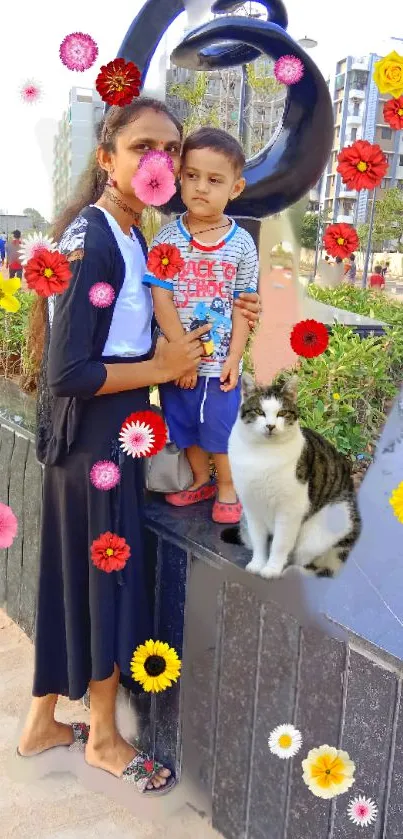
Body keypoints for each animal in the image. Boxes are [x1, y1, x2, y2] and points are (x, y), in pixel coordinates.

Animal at [224, 374, 362, 576]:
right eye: (259, 411)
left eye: (282, 413)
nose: (270, 426)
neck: (262, 453)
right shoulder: (251, 506)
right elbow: (258, 540)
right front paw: (257, 564)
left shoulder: (290, 510)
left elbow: (280, 544)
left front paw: (272, 569)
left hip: (321, 531)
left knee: (318, 565)